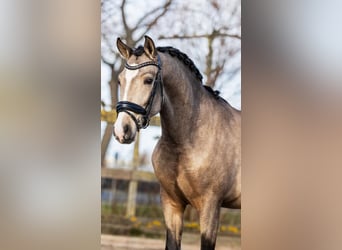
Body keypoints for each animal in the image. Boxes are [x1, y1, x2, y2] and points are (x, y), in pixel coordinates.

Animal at [113, 35, 240, 250]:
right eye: (120, 80)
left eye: (148, 80)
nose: (122, 130)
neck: (187, 141)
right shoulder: (171, 203)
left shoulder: (211, 206)